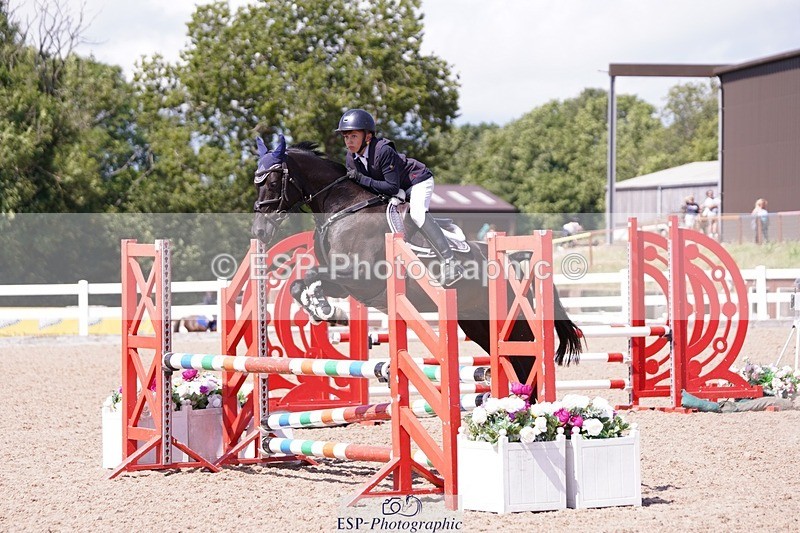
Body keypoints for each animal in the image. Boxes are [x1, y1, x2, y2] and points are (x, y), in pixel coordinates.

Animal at [250, 135, 582, 391]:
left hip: (513, 322)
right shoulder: (346, 283)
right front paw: (324, 310)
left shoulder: (360, 275)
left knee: (525, 362)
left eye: (273, 181)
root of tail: (513, 262)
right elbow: (299, 283)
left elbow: (311, 275)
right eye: (257, 183)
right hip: (477, 323)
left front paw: (325, 310)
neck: (343, 208)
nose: (259, 231)